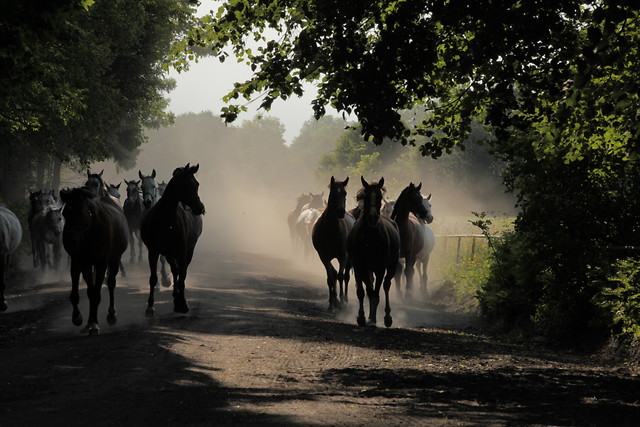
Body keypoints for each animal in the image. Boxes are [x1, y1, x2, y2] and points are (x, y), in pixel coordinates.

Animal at [60, 187, 129, 334]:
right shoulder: (79, 262)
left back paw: (111, 315)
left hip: (114, 260)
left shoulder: (101, 264)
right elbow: (82, 293)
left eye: (80, 212)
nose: (69, 242)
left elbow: (96, 293)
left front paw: (95, 324)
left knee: (111, 283)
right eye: (65, 213)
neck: (90, 233)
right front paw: (79, 318)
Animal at [141, 166, 205, 316]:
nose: (200, 207)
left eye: (197, 184)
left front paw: (183, 303)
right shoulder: (153, 251)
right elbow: (153, 278)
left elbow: (182, 276)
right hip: (169, 253)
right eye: (186, 184)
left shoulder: (182, 252)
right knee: (175, 270)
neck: (165, 220)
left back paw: (179, 299)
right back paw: (175, 297)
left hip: (188, 251)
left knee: (181, 272)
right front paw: (150, 306)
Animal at [312, 177, 356, 310]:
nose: (341, 212)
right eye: (333, 194)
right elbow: (331, 278)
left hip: (349, 259)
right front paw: (332, 303)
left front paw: (341, 301)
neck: (331, 230)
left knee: (345, 276)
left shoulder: (343, 256)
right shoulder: (324, 256)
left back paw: (344, 299)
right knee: (335, 273)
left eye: (344, 193)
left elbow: (341, 276)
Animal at [348, 177, 398, 328]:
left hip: (392, 266)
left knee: (386, 285)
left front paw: (374, 320)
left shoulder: (380, 268)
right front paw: (362, 317)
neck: (369, 237)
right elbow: (363, 292)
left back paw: (387, 317)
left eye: (380, 196)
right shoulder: (360, 267)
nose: (372, 217)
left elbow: (375, 294)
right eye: (365, 196)